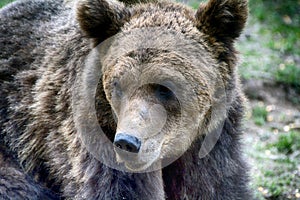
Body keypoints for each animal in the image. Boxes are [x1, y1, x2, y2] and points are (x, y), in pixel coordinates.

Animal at [0, 0, 252, 198]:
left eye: (165, 87)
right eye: (119, 85)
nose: (128, 142)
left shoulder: (211, 140)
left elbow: (216, 186)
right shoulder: (96, 133)